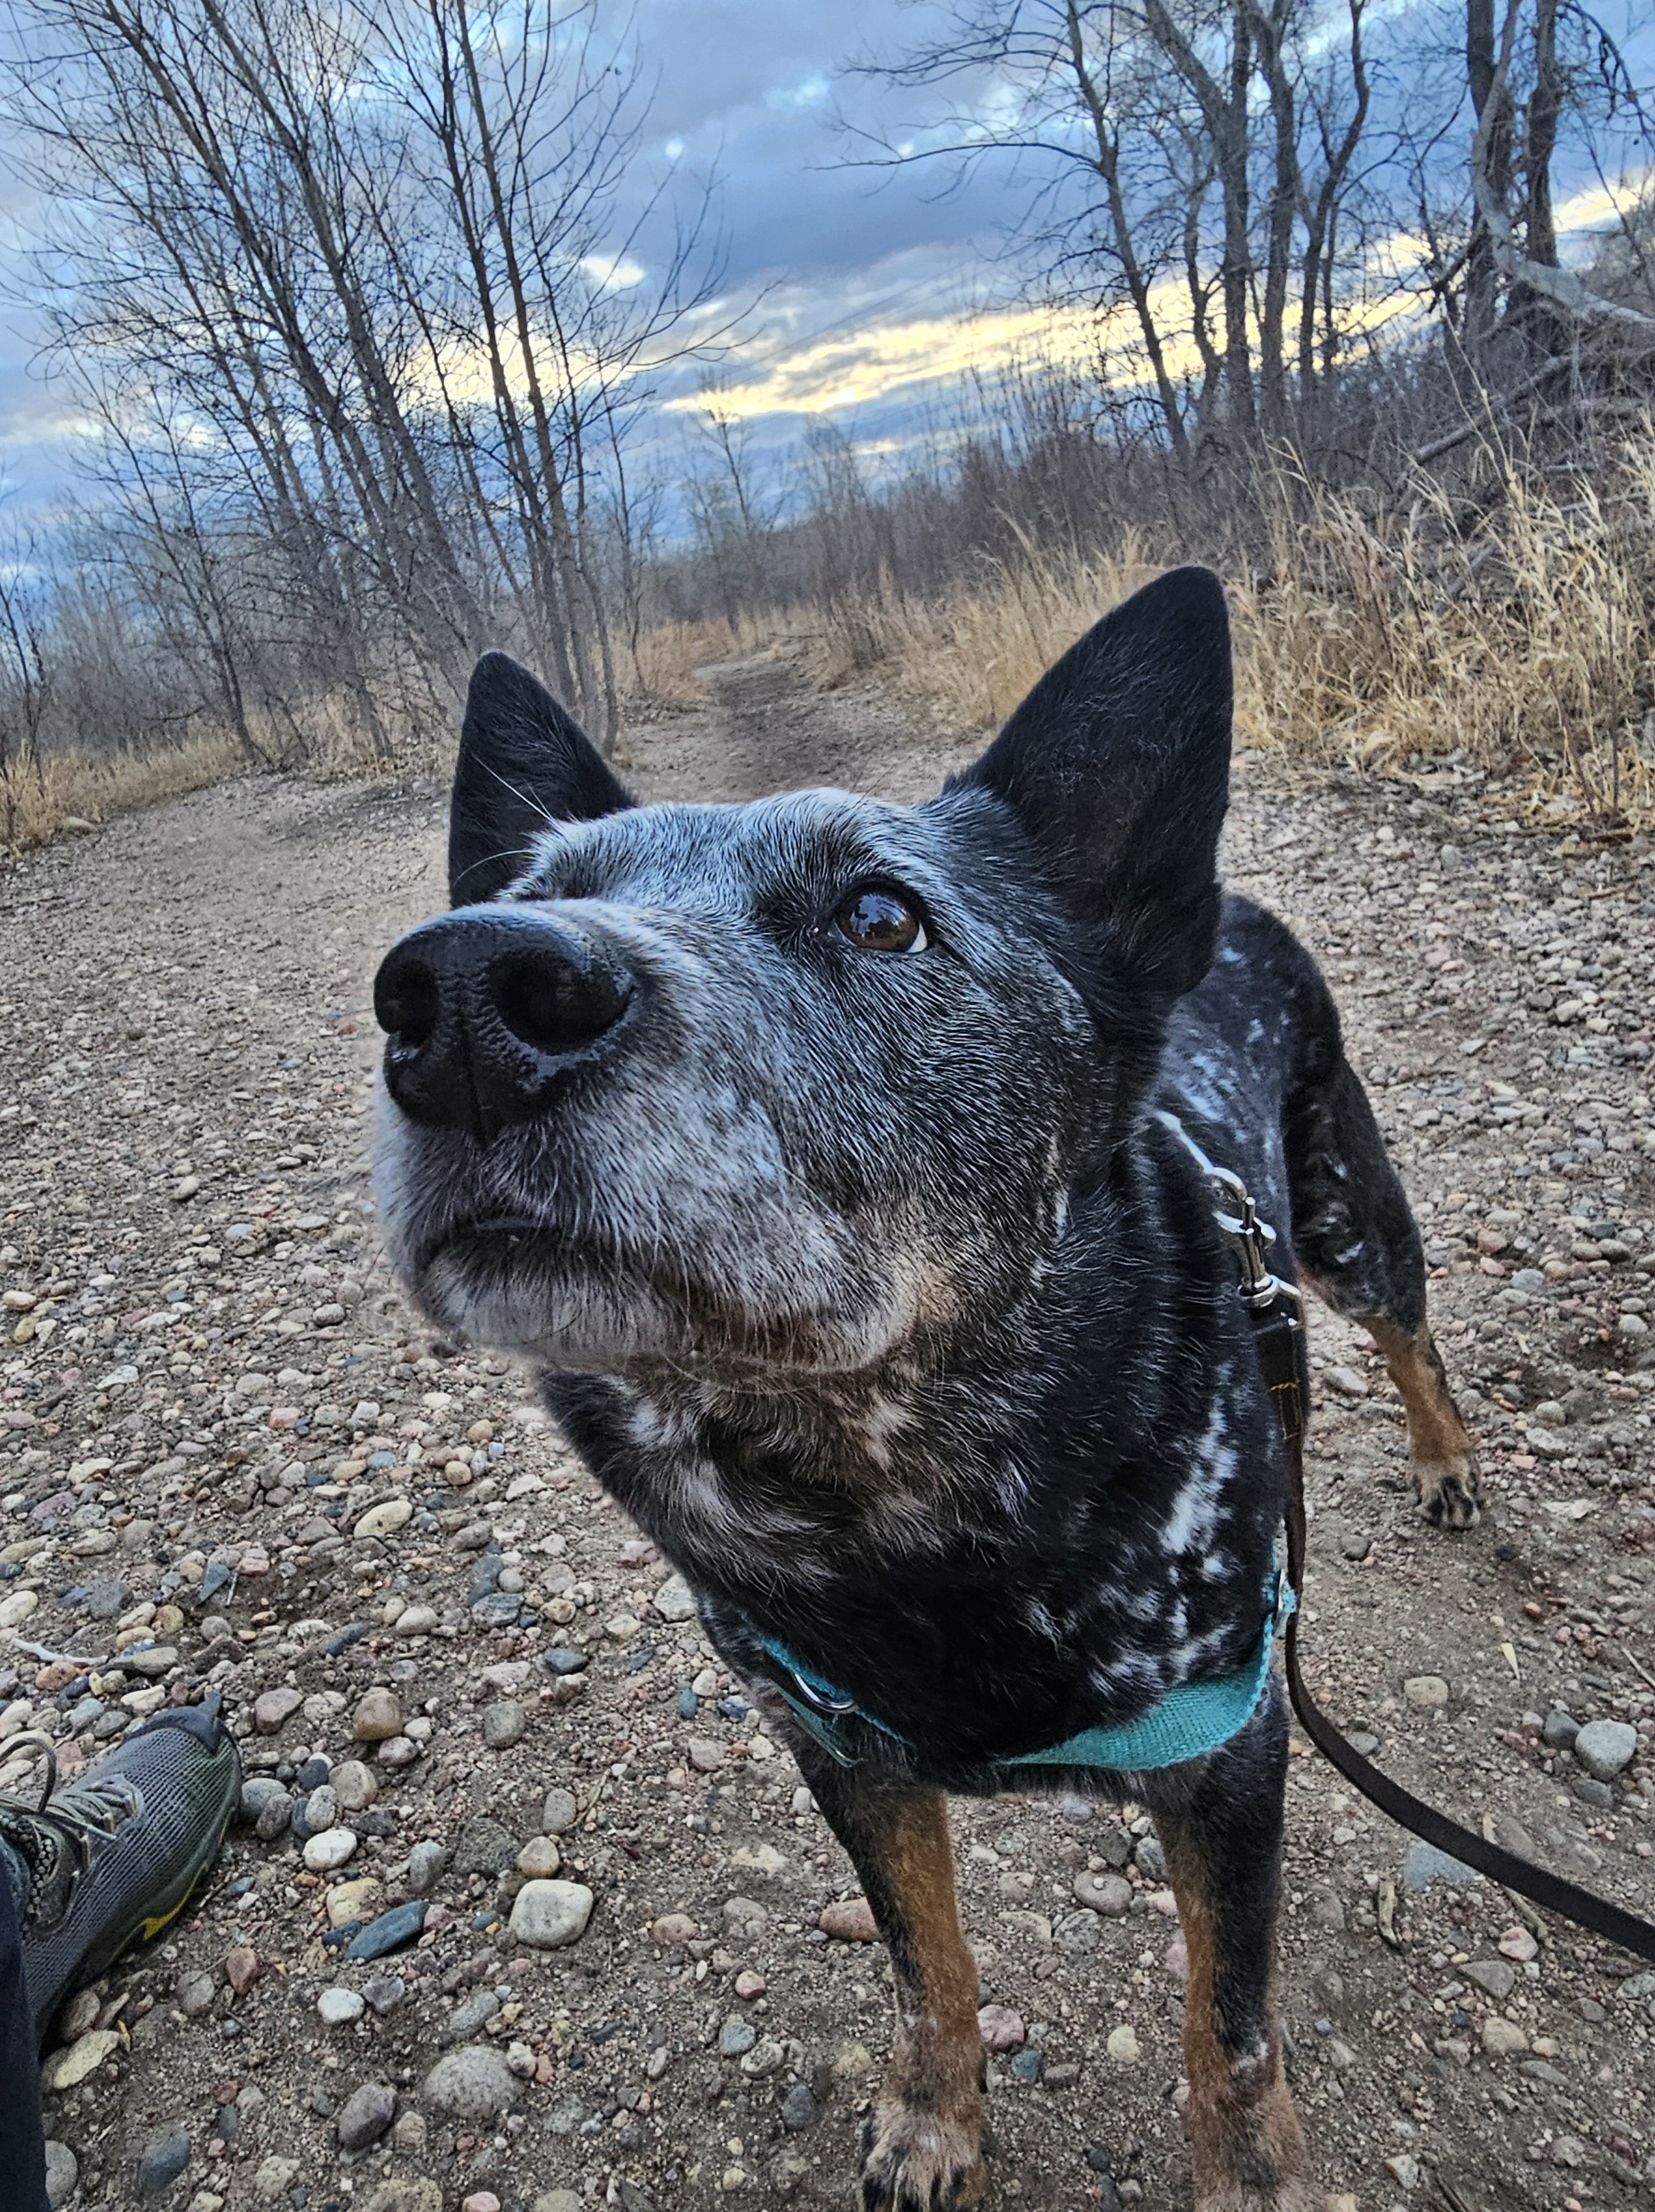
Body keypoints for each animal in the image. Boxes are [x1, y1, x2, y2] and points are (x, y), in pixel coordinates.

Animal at [371, 566, 1477, 2212]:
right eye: (543, 880)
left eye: (881, 916)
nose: (457, 996)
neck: (898, 1506)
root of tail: (1214, 906)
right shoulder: (847, 1758)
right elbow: (925, 1964)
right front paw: (938, 2117)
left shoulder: (1227, 1763)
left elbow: (1229, 2031)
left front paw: (1245, 2173)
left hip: (1346, 1218)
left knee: (1414, 1333)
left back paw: (1447, 1459)